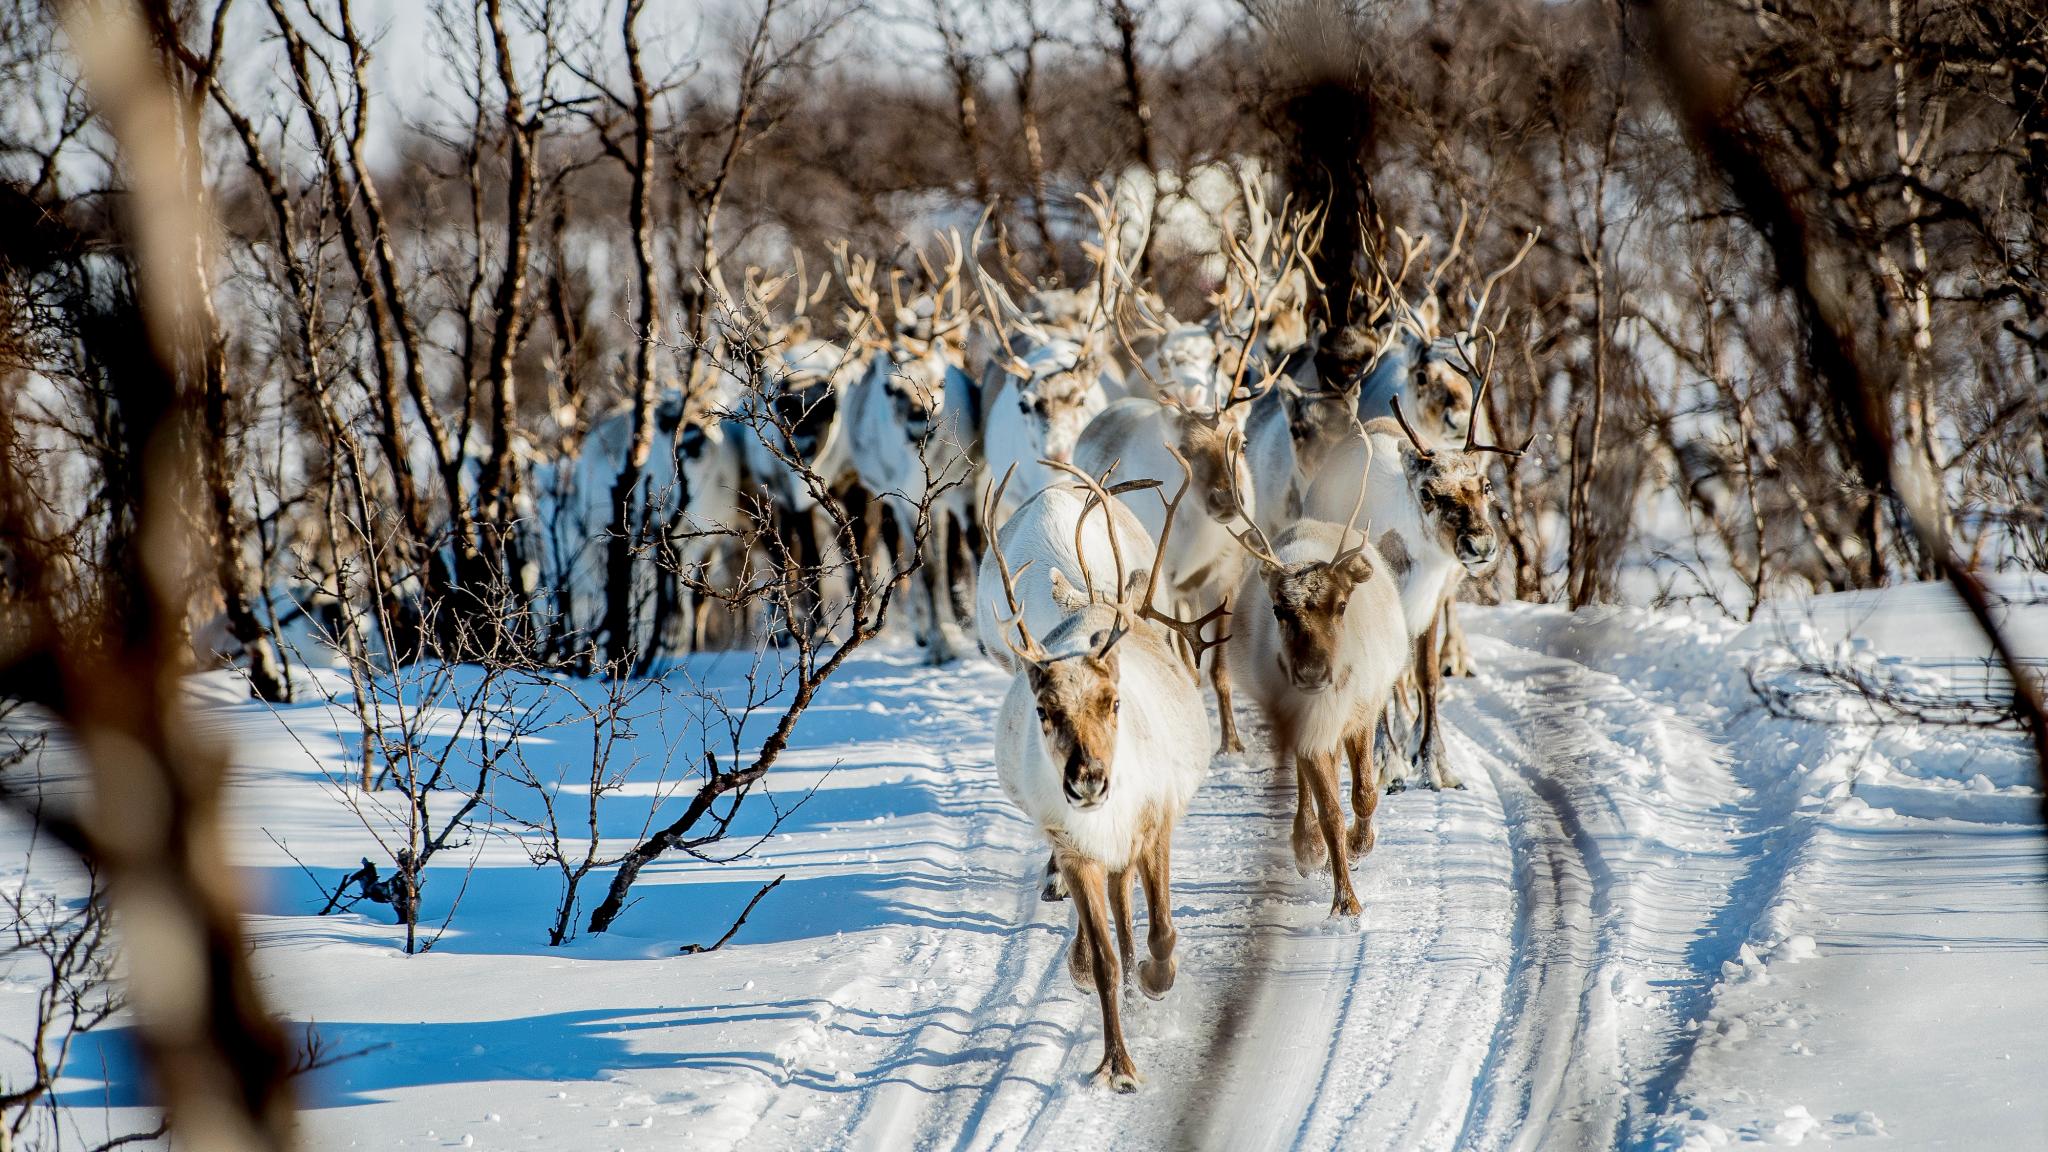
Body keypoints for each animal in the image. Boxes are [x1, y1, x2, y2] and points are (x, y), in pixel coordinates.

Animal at [985, 452, 1226, 1092]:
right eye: (1044, 710)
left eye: (1112, 702)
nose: (1087, 778)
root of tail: (1098, 602)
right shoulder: (1075, 849)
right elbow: (1105, 960)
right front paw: (1118, 1064)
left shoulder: (1154, 823)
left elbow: (1161, 930)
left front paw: (1157, 980)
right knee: (1112, 921)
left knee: (1132, 912)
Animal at [1223, 427, 1407, 919]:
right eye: (1278, 609)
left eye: (1341, 605)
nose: (1311, 673)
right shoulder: (1305, 722)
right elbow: (1329, 813)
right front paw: (1344, 898)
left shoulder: (1361, 711)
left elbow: (1364, 792)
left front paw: (1361, 846)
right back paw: (1308, 849)